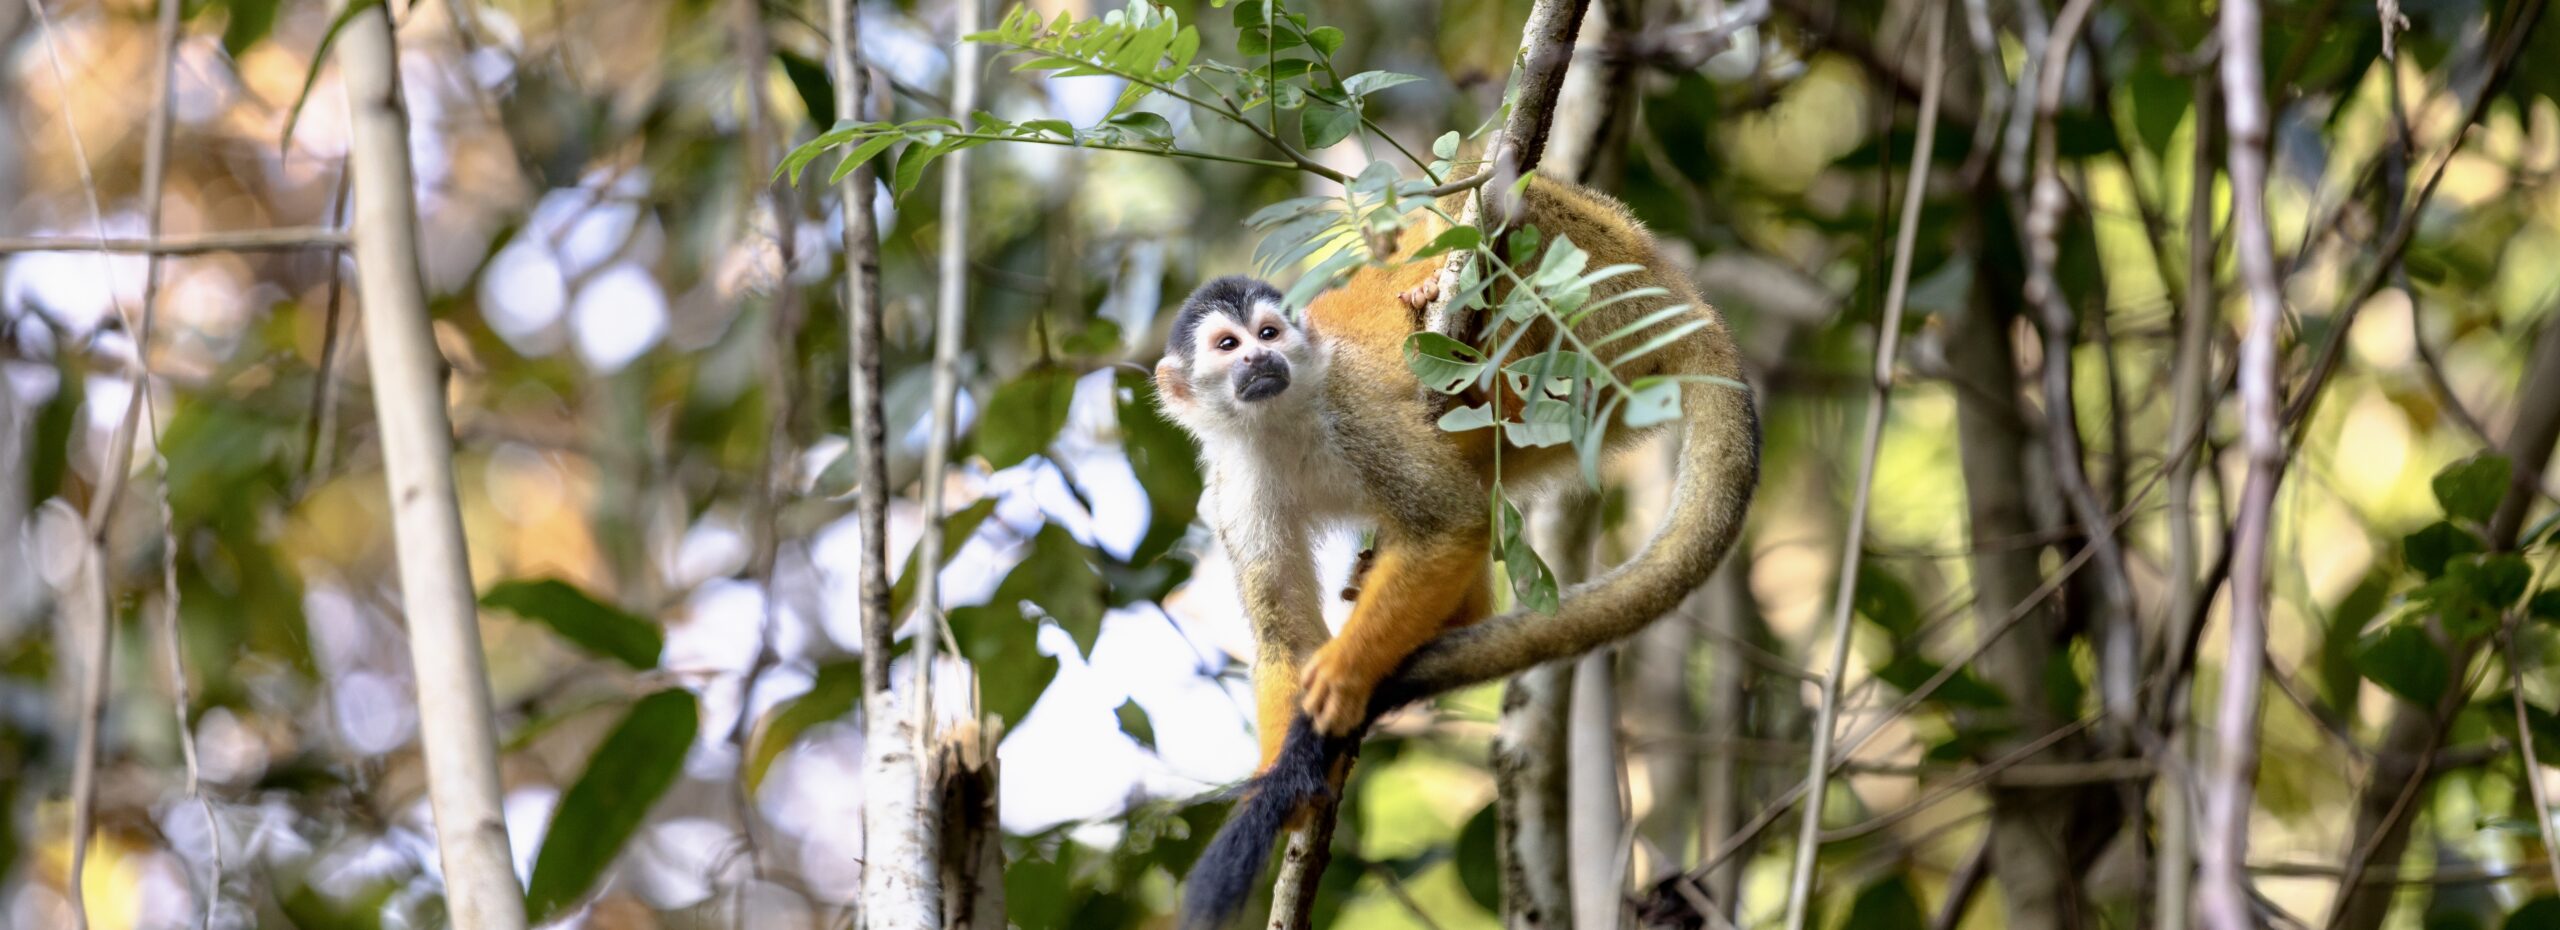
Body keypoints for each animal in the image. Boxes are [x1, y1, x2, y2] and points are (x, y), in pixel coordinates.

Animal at [1162, 176, 1761, 930]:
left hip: (1597, 307)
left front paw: (1345, 677)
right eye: (1227, 344)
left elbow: (1451, 525)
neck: (1280, 424)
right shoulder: (1235, 483)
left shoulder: (1352, 410)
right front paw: (1290, 787)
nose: (1259, 360)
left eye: (1268, 334)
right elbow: (1282, 633)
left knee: (1495, 207)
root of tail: (1682, 293)